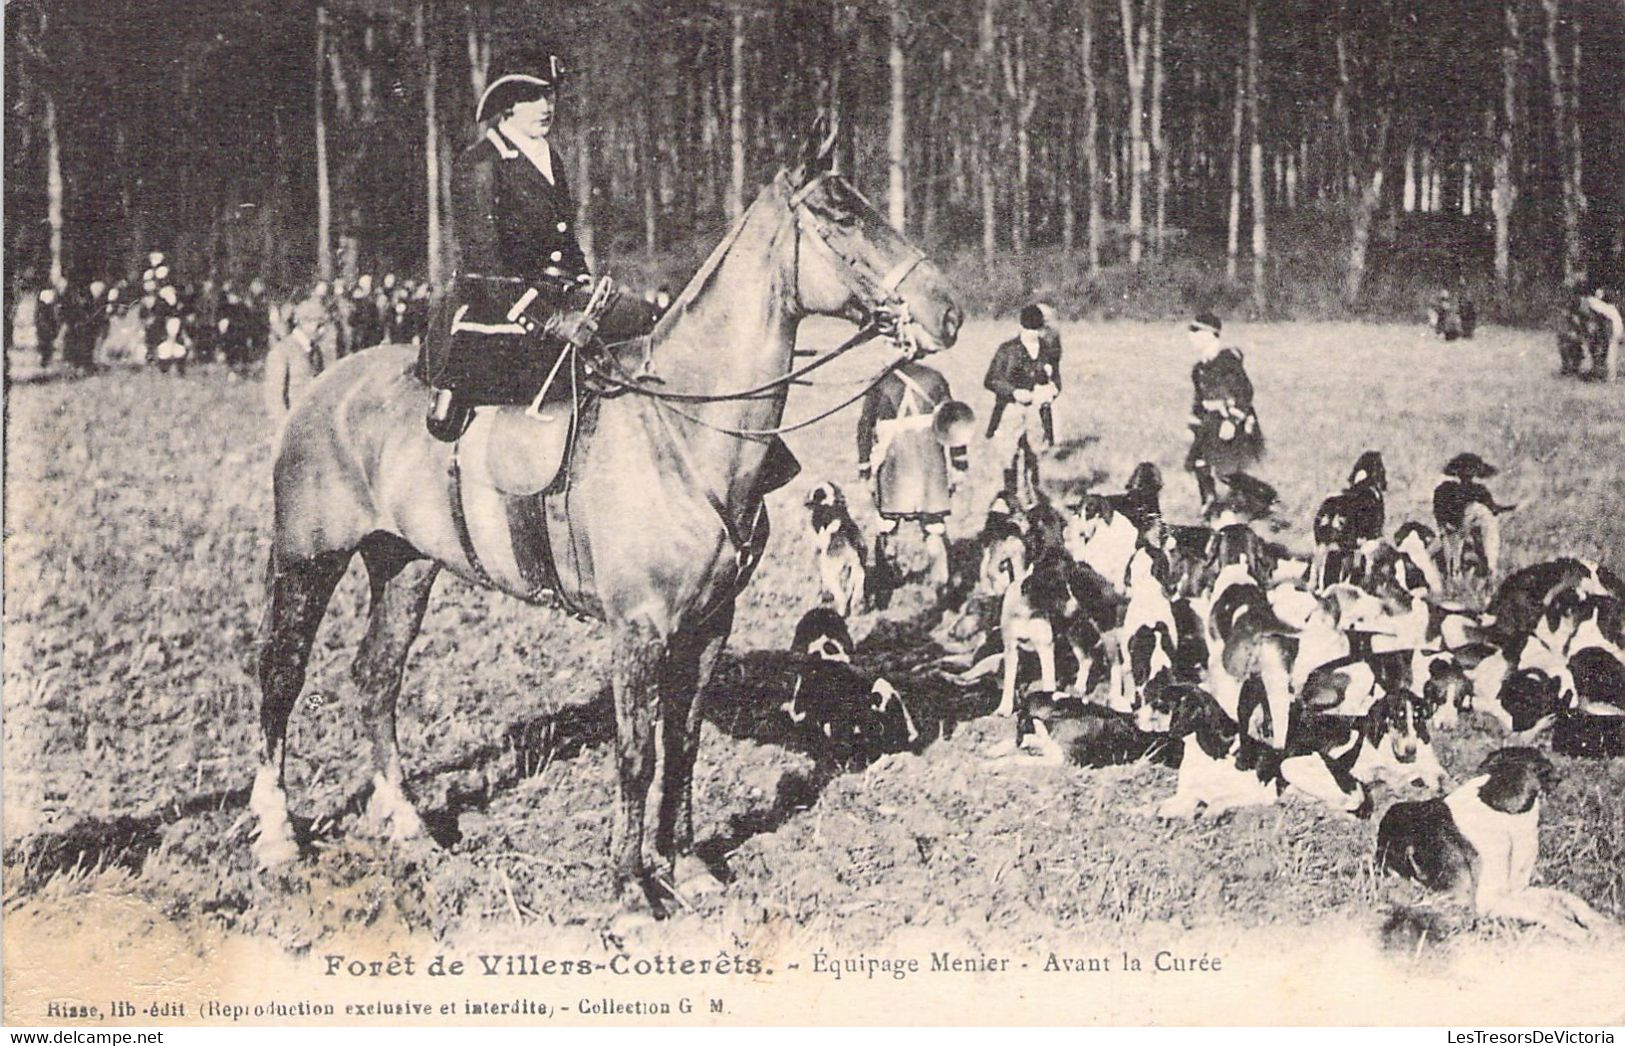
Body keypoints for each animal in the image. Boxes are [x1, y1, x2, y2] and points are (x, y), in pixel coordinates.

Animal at [250, 128, 962, 916]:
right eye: (839, 213)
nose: (948, 312)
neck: (682, 431)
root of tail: (321, 387)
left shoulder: (710, 624)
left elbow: (683, 744)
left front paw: (686, 864)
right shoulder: (638, 629)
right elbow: (635, 754)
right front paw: (631, 885)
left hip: (404, 563)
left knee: (376, 676)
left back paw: (408, 823)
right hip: (308, 560)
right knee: (280, 676)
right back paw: (278, 835)